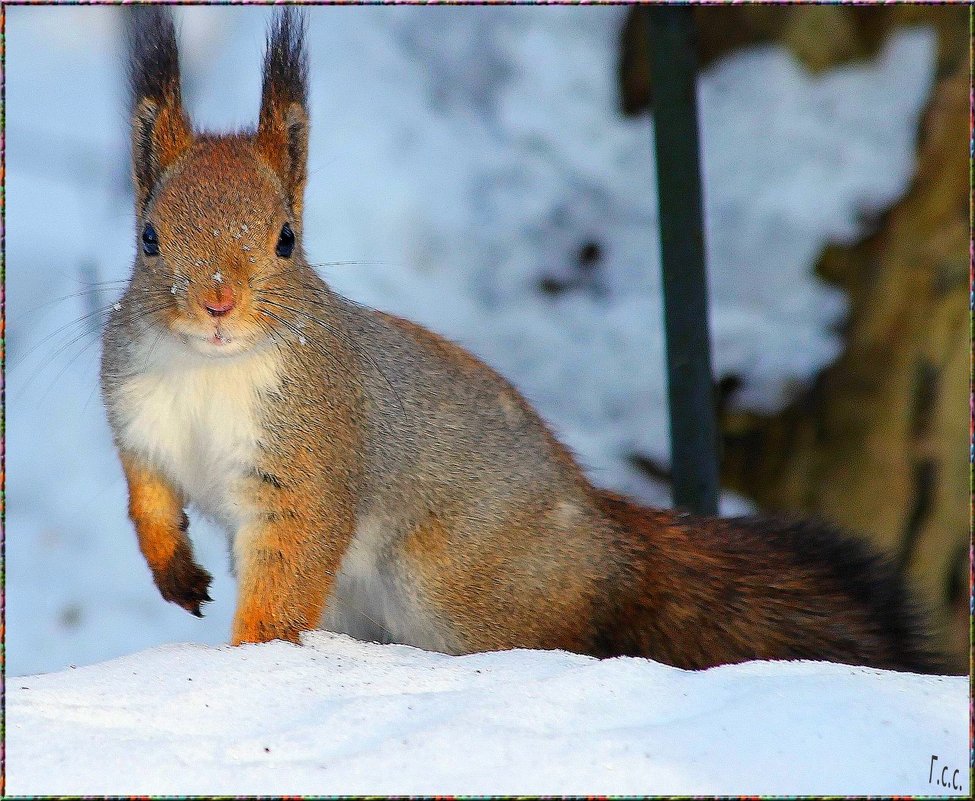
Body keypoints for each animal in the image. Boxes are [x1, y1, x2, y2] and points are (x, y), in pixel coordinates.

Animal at [101, 7, 944, 676]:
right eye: (148, 237)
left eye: (285, 239)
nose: (217, 301)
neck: (207, 369)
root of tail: (607, 546)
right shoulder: (137, 415)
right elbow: (147, 496)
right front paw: (174, 569)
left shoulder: (311, 457)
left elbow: (289, 567)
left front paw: (250, 661)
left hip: (460, 591)